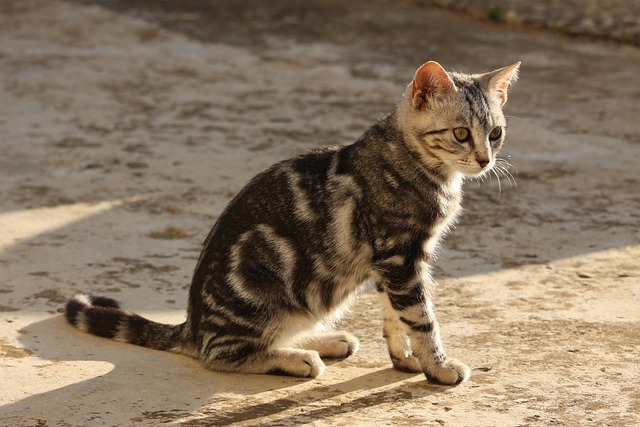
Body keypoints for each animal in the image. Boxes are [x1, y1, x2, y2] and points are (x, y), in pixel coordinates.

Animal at [66, 61, 520, 386]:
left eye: (495, 133)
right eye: (461, 133)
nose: (485, 160)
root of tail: (192, 326)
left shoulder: (393, 263)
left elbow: (395, 317)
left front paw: (404, 358)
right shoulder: (400, 258)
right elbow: (422, 319)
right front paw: (437, 366)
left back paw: (324, 340)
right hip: (263, 294)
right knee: (219, 354)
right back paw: (296, 358)